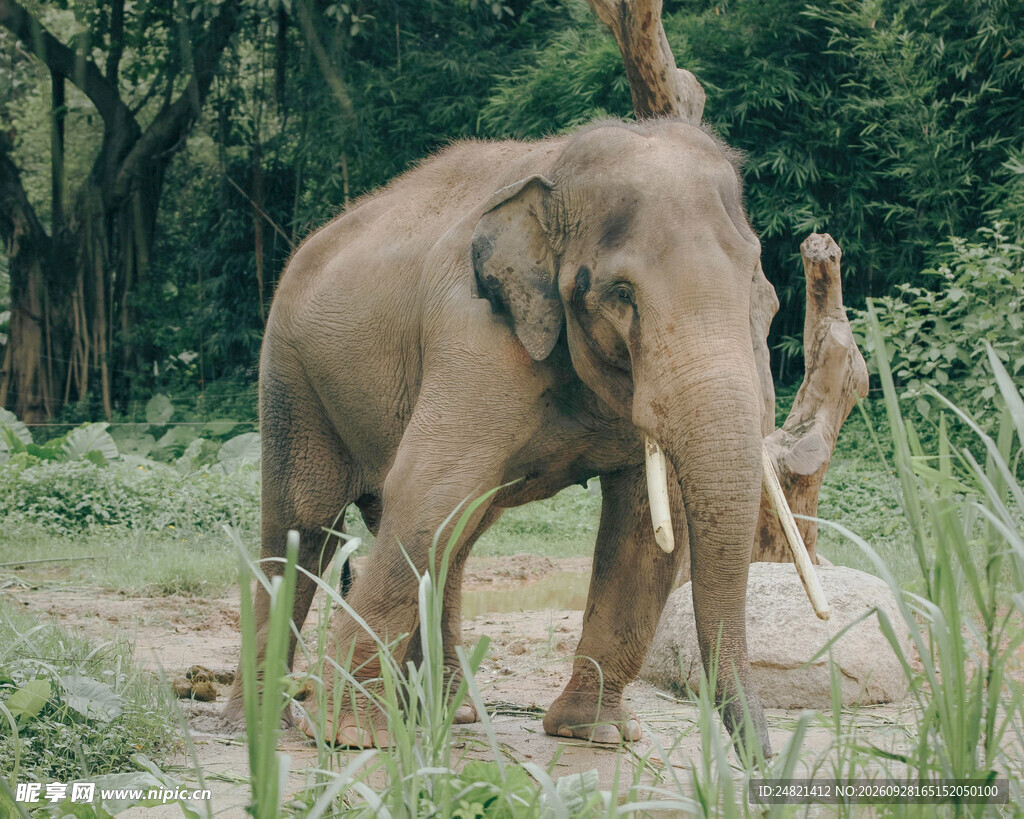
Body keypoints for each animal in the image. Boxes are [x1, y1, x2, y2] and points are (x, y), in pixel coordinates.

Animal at [223, 117, 777, 758]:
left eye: (761, 292)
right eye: (621, 293)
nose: (762, 759)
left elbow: (645, 528)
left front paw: (597, 732)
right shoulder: (474, 333)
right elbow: (427, 487)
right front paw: (349, 735)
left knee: (453, 535)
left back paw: (443, 713)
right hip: (291, 376)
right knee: (303, 526)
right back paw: (257, 723)